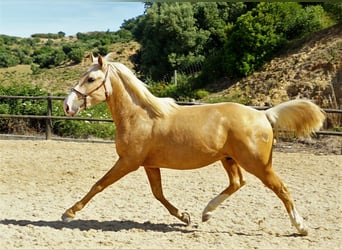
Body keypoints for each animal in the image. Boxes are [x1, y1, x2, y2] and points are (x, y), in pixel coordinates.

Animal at [62, 53, 324, 235]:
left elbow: (98, 185)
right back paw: (206, 213)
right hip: (229, 159)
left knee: (281, 189)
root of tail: (263, 115)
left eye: (91, 78)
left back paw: (301, 227)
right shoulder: (149, 165)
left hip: (258, 164)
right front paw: (185, 217)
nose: (67, 105)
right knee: (237, 183)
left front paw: (68, 212)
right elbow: (158, 194)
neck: (140, 117)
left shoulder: (128, 162)